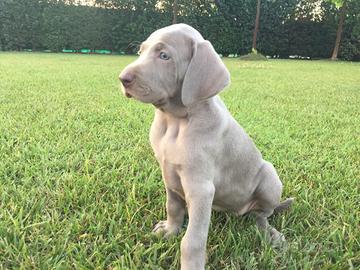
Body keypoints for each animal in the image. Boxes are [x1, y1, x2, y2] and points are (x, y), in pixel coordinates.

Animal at [119, 23, 294, 270]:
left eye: (164, 56)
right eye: (140, 51)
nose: (122, 78)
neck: (175, 122)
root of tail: (238, 211)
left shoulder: (200, 188)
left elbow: (192, 239)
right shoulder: (168, 173)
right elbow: (173, 206)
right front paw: (170, 230)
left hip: (269, 175)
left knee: (262, 215)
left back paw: (270, 233)